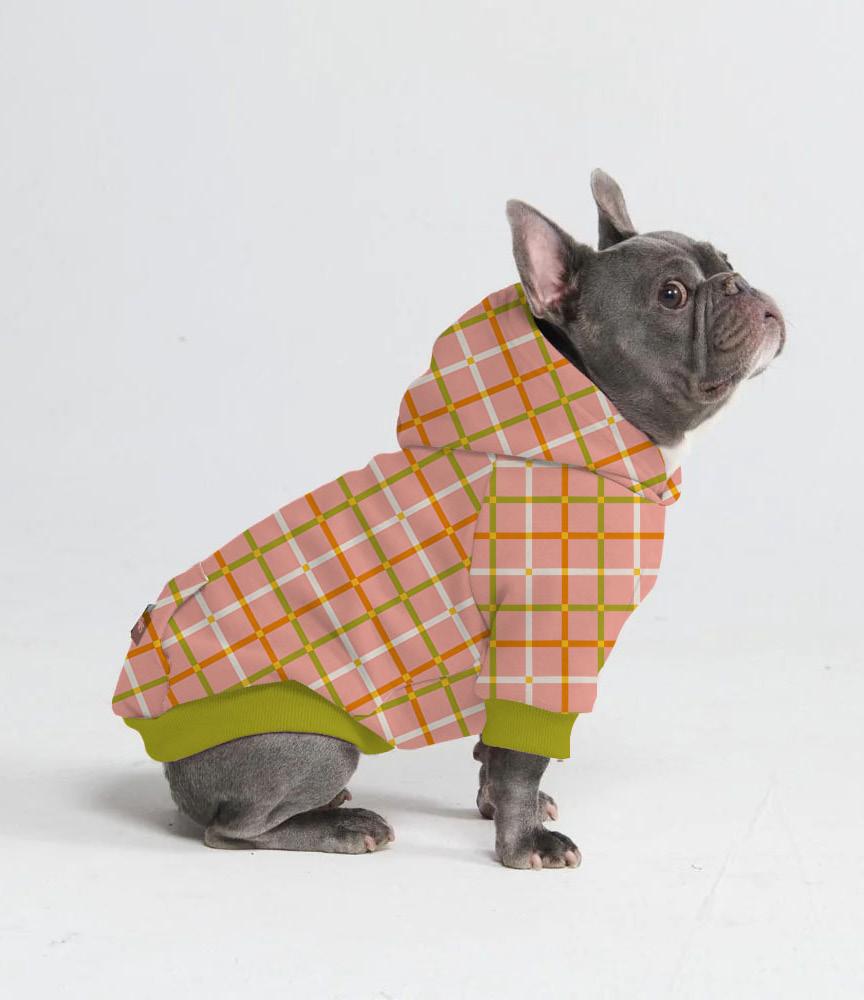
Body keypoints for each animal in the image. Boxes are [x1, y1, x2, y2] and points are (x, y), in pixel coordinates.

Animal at [112, 170, 784, 869]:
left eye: (725, 258)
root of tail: (167, 765)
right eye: (672, 295)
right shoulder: (542, 644)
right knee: (231, 829)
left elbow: (496, 751)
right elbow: (523, 759)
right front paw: (523, 845)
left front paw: (494, 808)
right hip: (315, 743)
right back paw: (339, 826)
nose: (738, 282)